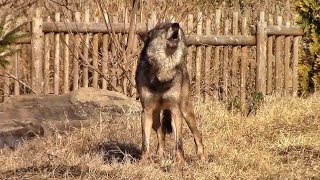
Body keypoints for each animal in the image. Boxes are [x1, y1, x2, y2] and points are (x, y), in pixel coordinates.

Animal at [135, 21, 205, 163]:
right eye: (162, 27)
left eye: (178, 26)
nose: (176, 24)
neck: (164, 70)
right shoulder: (146, 111)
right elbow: (145, 143)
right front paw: (142, 163)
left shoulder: (175, 110)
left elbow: (179, 143)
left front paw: (180, 163)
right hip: (155, 116)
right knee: (161, 135)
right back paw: (159, 157)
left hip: (186, 112)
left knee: (198, 135)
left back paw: (202, 158)